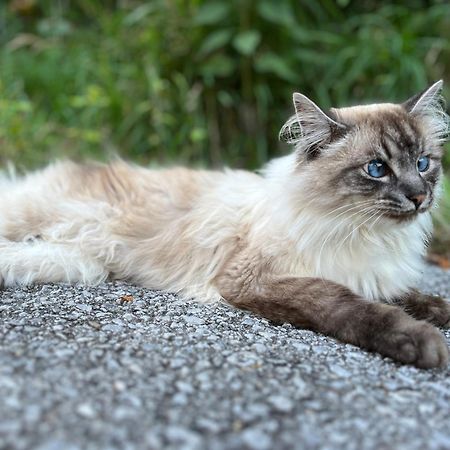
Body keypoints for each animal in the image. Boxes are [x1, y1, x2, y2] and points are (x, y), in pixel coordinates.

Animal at [0, 81, 450, 370]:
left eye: (423, 163)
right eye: (377, 169)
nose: (418, 197)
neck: (364, 232)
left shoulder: (374, 276)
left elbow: (417, 298)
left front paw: (437, 314)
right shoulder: (255, 279)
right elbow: (349, 305)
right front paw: (423, 343)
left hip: (77, 262)